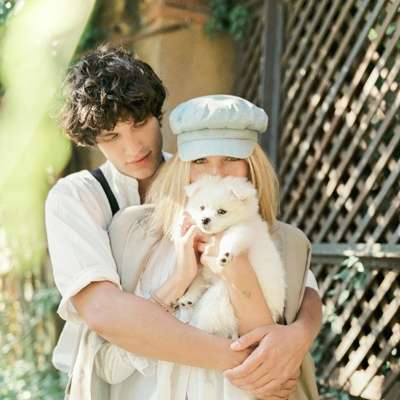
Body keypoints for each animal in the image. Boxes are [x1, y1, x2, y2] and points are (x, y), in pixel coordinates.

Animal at [176, 175, 286, 338]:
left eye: (222, 211)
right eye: (202, 208)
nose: (205, 219)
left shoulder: (242, 230)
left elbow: (230, 239)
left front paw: (225, 255)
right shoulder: (203, 268)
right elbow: (197, 281)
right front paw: (188, 297)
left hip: (219, 297)